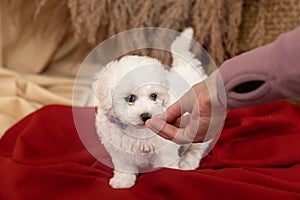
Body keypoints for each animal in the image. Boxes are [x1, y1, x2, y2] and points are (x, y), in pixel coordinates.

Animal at [95, 28, 211, 189]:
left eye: (154, 96)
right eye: (130, 98)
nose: (146, 116)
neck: (137, 130)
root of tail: (185, 66)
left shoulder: (165, 147)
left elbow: (166, 162)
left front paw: (171, 176)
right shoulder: (119, 149)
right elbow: (124, 165)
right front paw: (123, 181)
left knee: (197, 147)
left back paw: (188, 162)